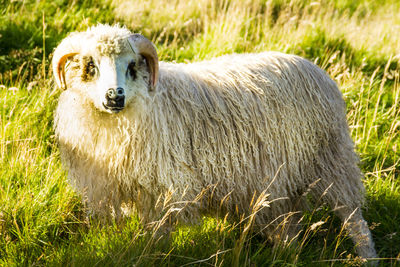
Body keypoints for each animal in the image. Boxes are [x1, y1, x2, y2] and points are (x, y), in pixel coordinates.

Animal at [51, 25, 376, 262]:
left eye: (132, 65)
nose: (114, 96)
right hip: (283, 178)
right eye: (90, 65)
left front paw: (153, 257)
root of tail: (318, 70)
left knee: (353, 218)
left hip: (333, 159)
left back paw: (367, 257)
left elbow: (157, 235)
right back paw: (288, 253)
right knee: (289, 224)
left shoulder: (165, 190)